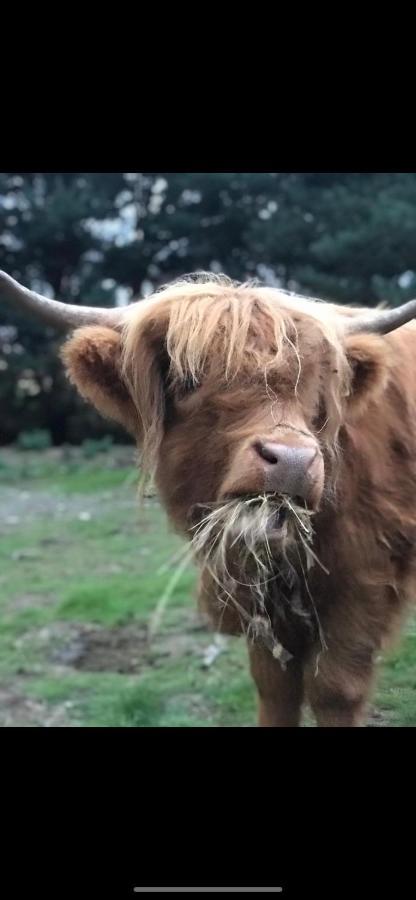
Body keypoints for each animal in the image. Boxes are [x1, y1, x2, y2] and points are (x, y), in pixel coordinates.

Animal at [3, 270, 416, 728]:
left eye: (316, 381)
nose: (292, 460)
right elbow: (275, 685)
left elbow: (334, 689)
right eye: (188, 380)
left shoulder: (367, 574)